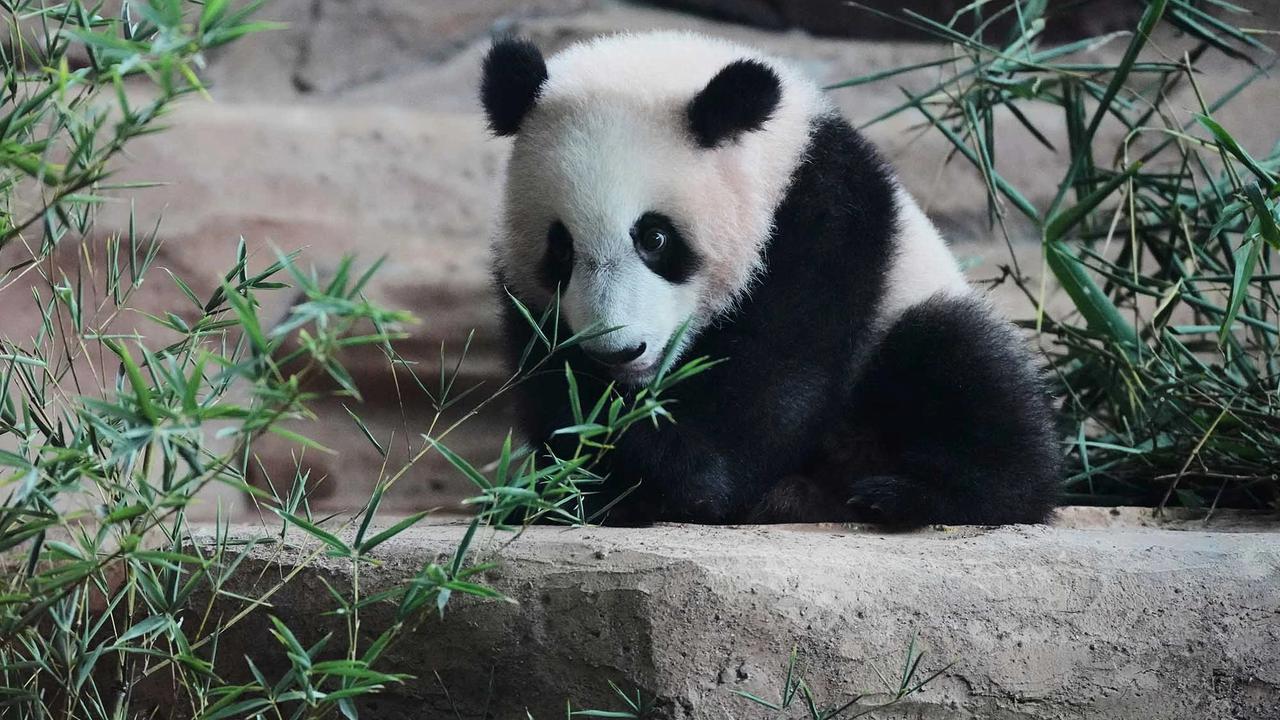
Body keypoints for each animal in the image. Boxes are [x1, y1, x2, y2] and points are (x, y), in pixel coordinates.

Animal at [480, 31, 1060, 526]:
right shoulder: (523, 293)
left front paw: (663, 469)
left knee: (961, 362)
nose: (619, 352)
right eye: (561, 248)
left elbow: (775, 383)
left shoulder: (823, 219)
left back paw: (905, 495)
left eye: (655, 238)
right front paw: (573, 478)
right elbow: (547, 378)